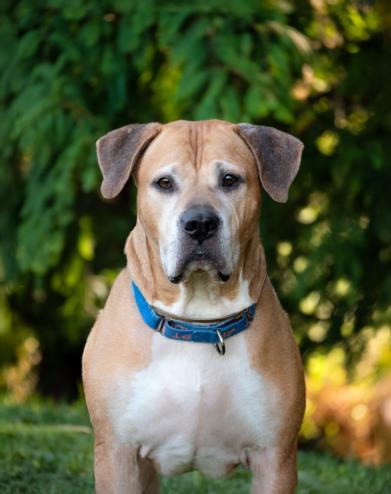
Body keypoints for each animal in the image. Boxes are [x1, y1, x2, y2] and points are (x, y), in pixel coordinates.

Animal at [82, 120, 306, 494]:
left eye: (230, 179)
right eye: (164, 183)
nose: (200, 223)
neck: (199, 323)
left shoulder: (275, 458)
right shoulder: (117, 453)